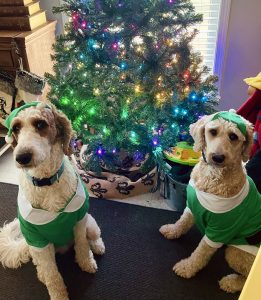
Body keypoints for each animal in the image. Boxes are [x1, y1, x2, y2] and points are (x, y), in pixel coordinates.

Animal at [0, 102, 104, 298]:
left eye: (40, 124)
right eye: (16, 128)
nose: (21, 157)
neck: (47, 182)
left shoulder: (79, 221)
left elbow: (82, 246)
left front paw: (86, 262)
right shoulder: (37, 241)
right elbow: (52, 275)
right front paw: (59, 295)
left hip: (91, 223)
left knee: (93, 238)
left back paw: (97, 247)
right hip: (35, 248)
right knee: (42, 266)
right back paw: (42, 274)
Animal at [158, 110, 260, 292]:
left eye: (233, 136)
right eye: (213, 131)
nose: (218, 157)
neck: (213, 176)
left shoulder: (219, 229)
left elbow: (201, 253)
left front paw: (187, 268)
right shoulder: (191, 206)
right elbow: (182, 222)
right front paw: (172, 230)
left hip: (236, 253)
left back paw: (231, 282)